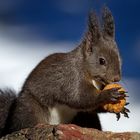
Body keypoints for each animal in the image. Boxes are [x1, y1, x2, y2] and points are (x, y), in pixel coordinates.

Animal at [0, 6, 129, 137]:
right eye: (102, 61)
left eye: (120, 58)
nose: (116, 78)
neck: (91, 76)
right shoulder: (71, 78)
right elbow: (80, 98)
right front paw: (108, 94)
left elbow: (90, 107)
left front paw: (121, 108)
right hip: (30, 109)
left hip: (85, 117)